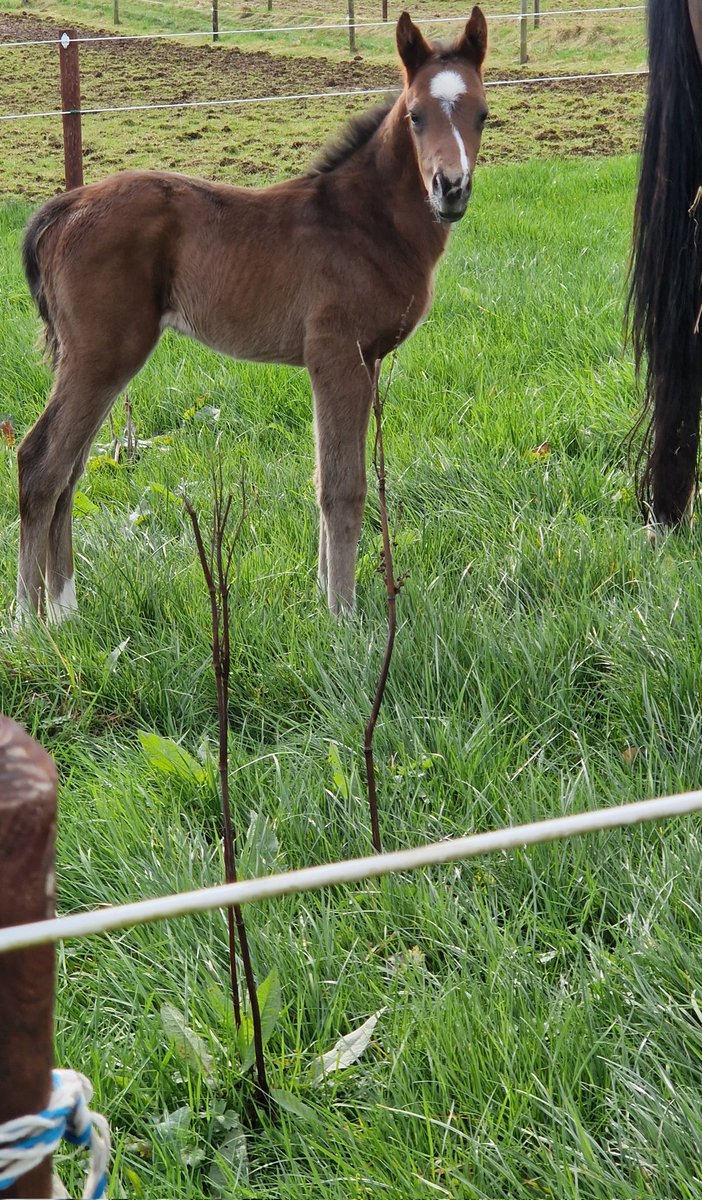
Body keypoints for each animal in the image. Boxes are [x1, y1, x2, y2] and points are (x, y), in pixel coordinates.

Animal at [16, 8, 488, 623]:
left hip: (95, 361)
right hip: (103, 355)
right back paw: (27, 622)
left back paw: (65, 610)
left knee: (70, 469)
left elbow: (325, 474)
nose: (450, 189)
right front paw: (343, 615)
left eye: (483, 115)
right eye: (415, 115)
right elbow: (343, 485)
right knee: (41, 463)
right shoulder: (337, 356)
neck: (363, 222)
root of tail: (65, 207)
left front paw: (324, 596)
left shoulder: (365, 361)